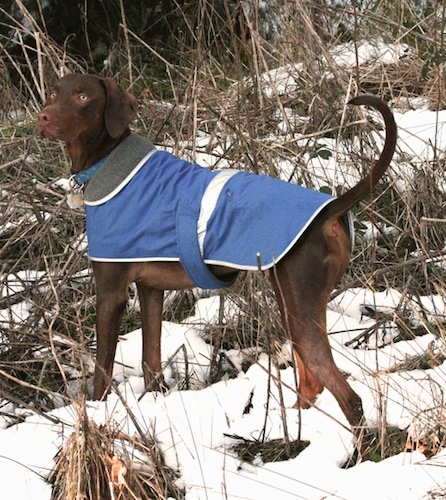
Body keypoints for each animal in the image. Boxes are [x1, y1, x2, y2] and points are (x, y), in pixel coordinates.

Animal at [36, 73, 396, 442]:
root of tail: (330, 209)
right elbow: (151, 360)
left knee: (347, 396)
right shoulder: (150, 290)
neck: (108, 164)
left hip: (298, 303)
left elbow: (102, 373)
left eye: (83, 96)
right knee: (311, 383)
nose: (43, 118)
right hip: (294, 303)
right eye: (54, 92)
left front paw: (96, 415)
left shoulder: (111, 292)